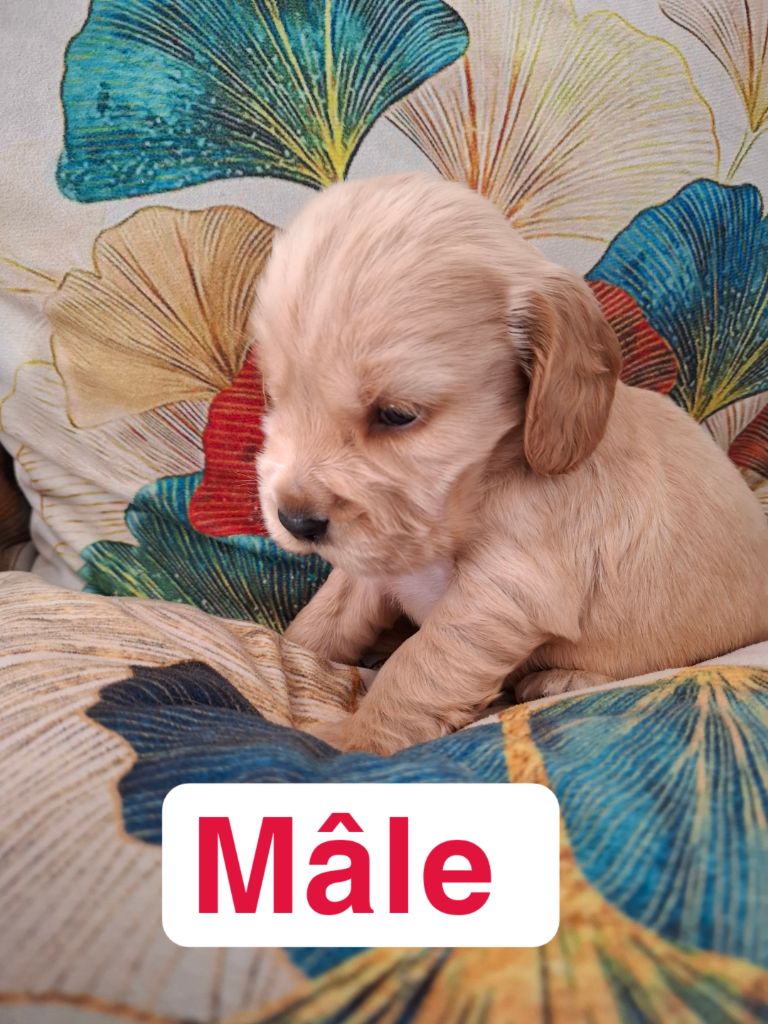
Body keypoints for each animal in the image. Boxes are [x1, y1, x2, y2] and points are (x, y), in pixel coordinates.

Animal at [253, 173, 768, 755]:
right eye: (273, 395)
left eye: (396, 415)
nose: (294, 520)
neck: (475, 488)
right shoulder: (382, 561)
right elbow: (327, 614)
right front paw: (282, 654)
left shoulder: (502, 596)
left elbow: (419, 665)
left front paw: (352, 740)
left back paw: (559, 679)